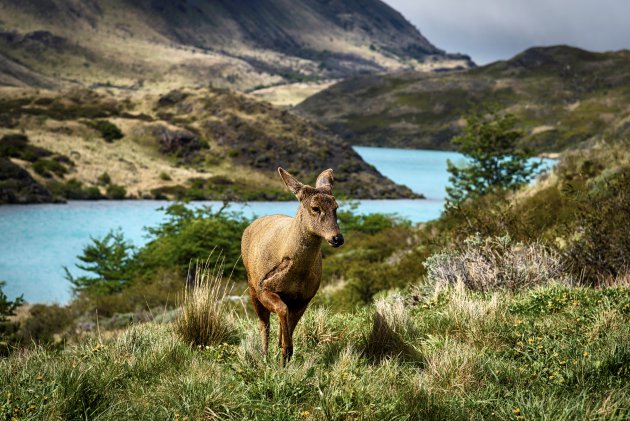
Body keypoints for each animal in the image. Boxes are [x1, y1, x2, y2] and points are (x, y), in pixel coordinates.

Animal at [242, 167, 346, 364]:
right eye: (315, 208)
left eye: (336, 207)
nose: (337, 238)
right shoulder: (263, 288)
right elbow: (281, 313)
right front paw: (283, 356)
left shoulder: (304, 298)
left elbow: (289, 327)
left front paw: (285, 357)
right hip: (251, 283)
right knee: (264, 324)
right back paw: (264, 356)